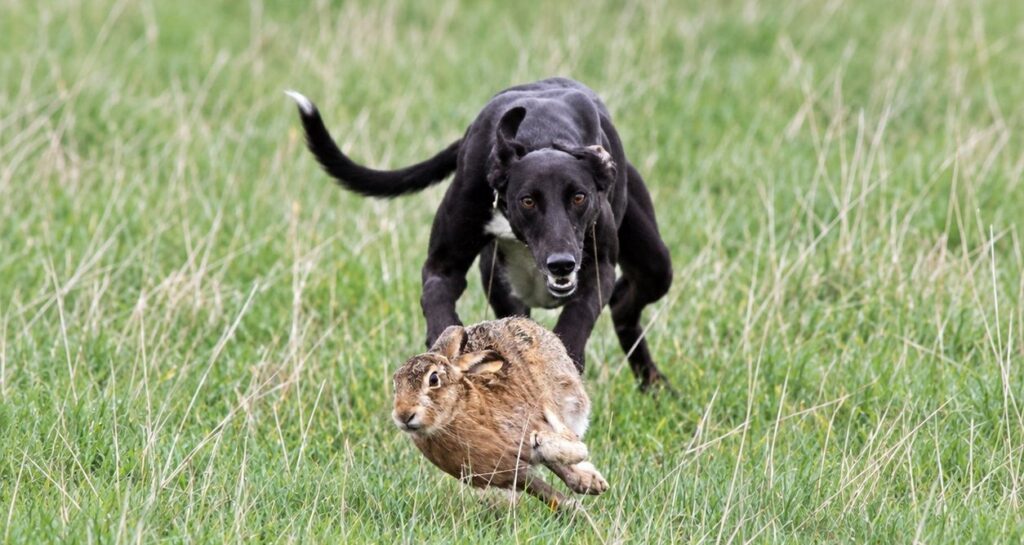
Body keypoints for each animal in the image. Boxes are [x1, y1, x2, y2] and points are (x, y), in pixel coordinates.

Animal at [391, 316, 609, 509]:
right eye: (395, 384)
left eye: (434, 379)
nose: (404, 415)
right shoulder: (511, 473)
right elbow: (553, 496)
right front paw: (577, 511)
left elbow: (573, 450)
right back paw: (591, 482)